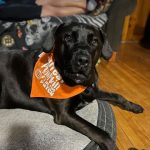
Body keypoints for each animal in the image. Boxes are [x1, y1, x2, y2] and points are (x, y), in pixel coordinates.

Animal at [0, 22, 144, 150]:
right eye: (68, 37)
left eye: (94, 41)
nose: (83, 60)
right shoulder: (64, 114)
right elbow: (100, 132)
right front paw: (112, 145)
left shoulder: (92, 90)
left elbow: (117, 96)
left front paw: (134, 106)